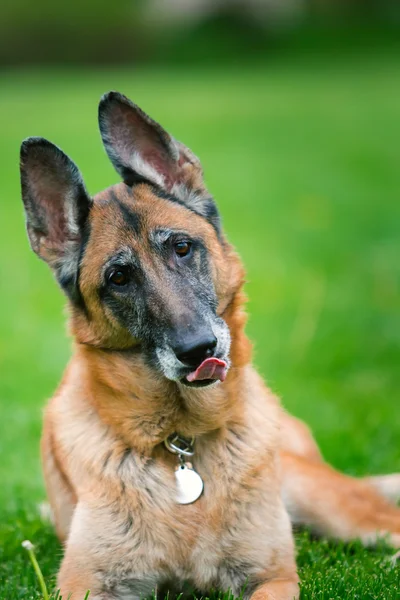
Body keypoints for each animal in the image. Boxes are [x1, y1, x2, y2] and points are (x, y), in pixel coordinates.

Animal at [20, 91, 400, 596]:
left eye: (182, 247)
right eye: (118, 278)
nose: (198, 350)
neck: (181, 444)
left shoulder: (273, 577)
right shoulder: (87, 584)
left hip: (327, 502)